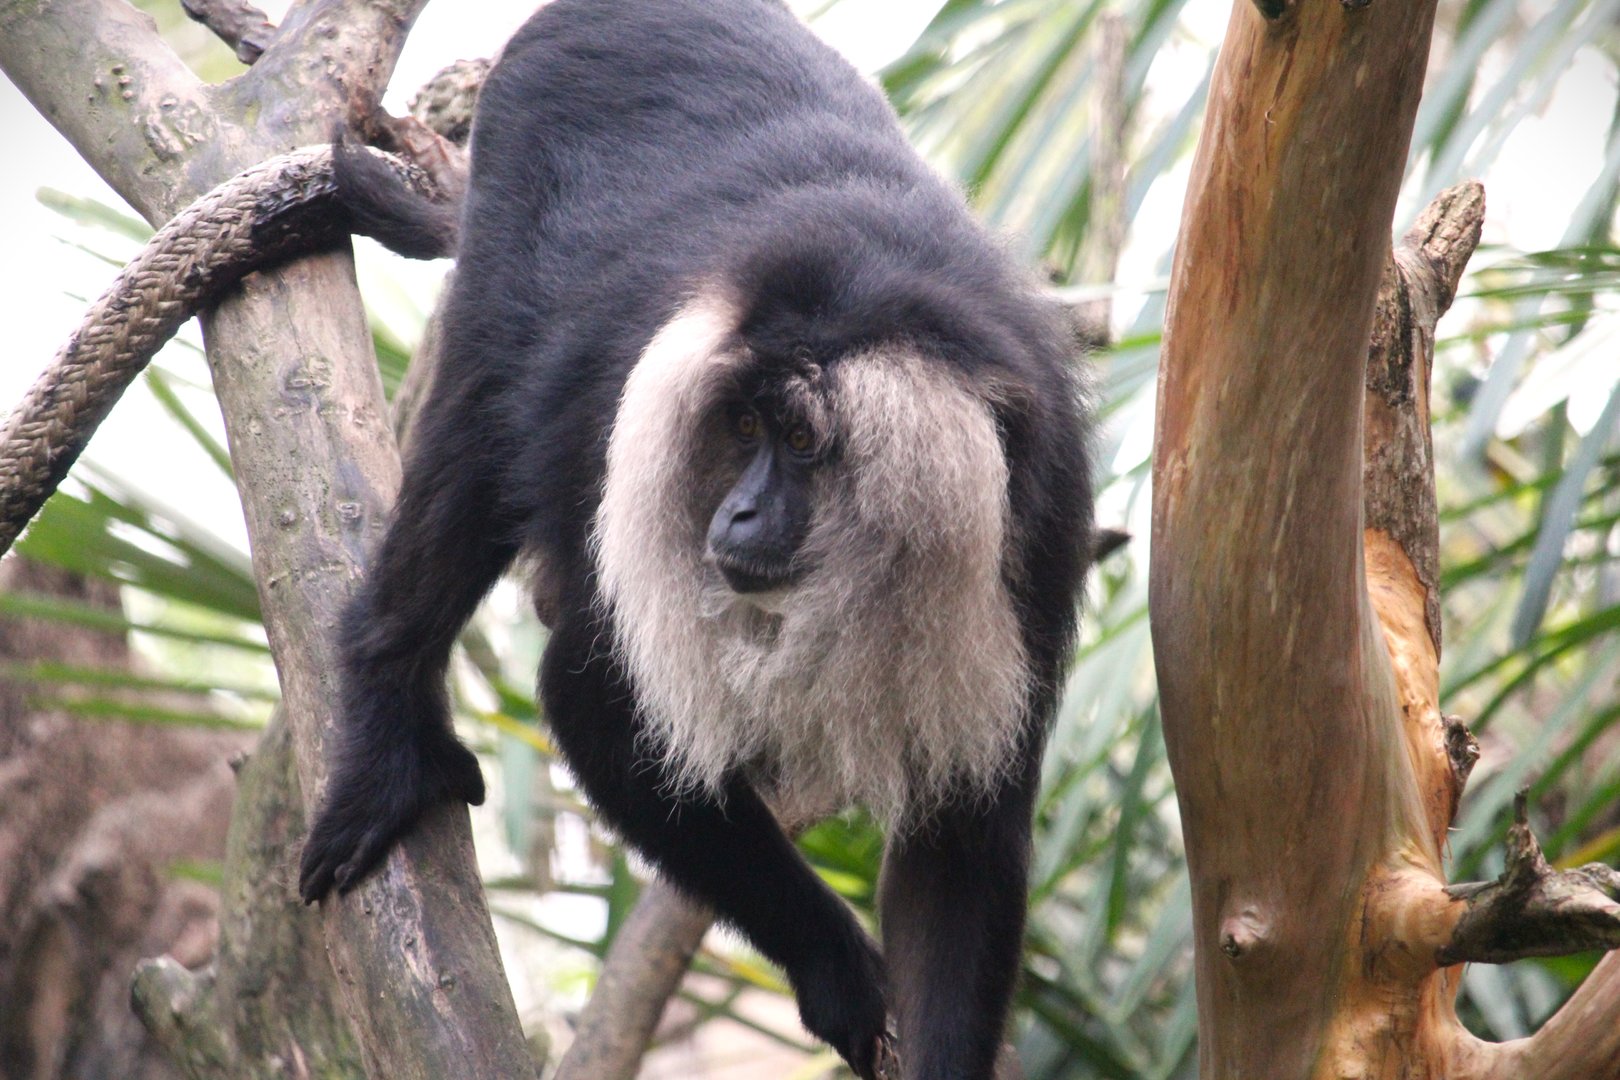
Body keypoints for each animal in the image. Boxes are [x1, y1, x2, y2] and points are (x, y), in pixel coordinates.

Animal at [298, 2, 1095, 1077]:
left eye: (800, 442)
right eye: (744, 429)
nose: (739, 514)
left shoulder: (1038, 532)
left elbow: (965, 833)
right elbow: (597, 710)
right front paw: (841, 975)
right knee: (477, 442)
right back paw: (387, 722)